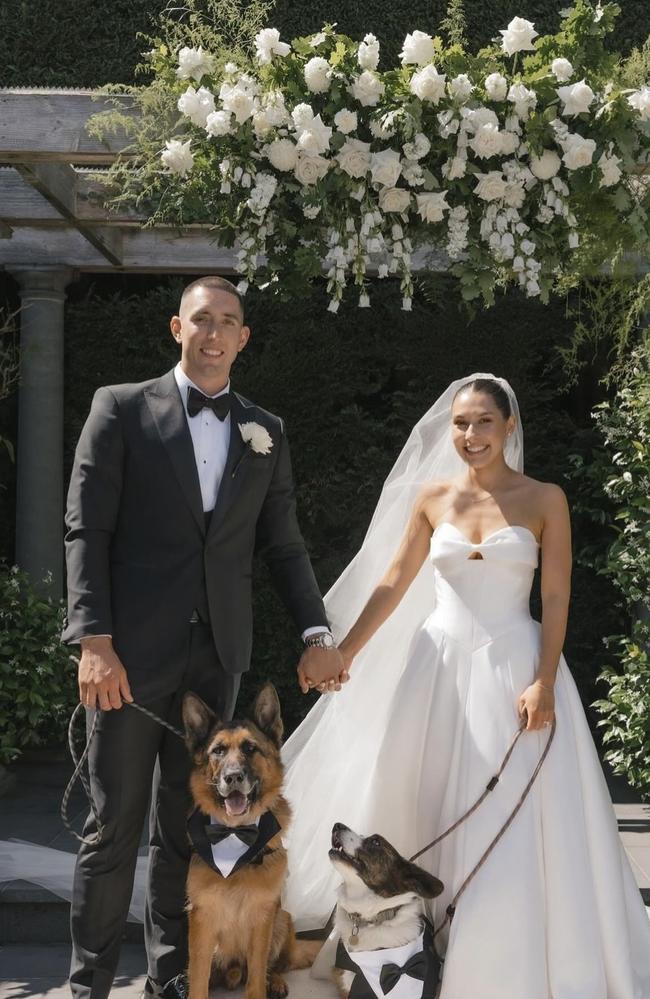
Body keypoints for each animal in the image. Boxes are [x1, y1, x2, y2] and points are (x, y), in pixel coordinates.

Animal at [181, 684, 318, 999]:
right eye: (218, 751)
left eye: (250, 748)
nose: (233, 777)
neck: (235, 835)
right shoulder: (202, 921)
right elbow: (198, 979)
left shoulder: (262, 918)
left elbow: (256, 976)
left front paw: (264, 985)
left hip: (283, 918)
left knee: (274, 966)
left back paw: (276, 982)